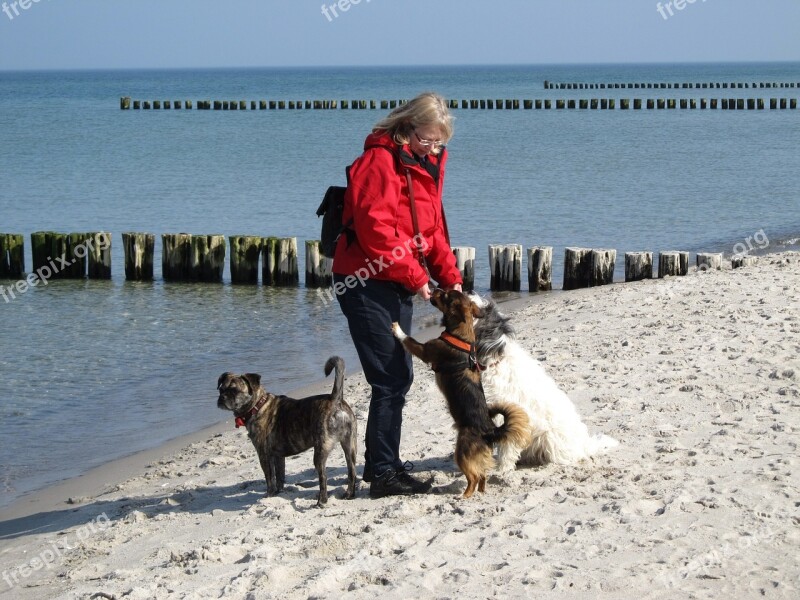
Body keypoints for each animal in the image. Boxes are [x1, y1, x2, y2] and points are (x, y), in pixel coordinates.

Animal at [217, 356, 358, 506]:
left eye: (234, 390)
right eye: (221, 389)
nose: (221, 398)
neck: (258, 405)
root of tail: (335, 400)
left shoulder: (264, 455)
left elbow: (270, 479)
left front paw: (269, 495)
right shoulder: (278, 456)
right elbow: (280, 477)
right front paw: (278, 493)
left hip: (320, 452)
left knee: (323, 478)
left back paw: (321, 501)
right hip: (349, 446)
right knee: (351, 471)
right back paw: (349, 494)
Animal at [390, 288, 528, 500]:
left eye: (445, 296)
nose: (434, 288)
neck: (461, 336)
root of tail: (490, 432)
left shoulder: (425, 350)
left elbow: (408, 340)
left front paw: (397, 329)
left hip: (461, 451)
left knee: (474, 476)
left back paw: (464, 495)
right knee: (482, 474)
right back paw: (478, 492)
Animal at [468, 292, 620, 472]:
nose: (466, 292)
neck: (494, 360)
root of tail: (584, 446)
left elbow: (508, 446)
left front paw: (503, 469)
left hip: (551, 439)